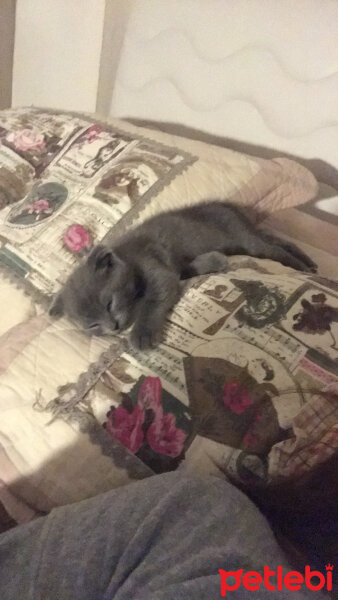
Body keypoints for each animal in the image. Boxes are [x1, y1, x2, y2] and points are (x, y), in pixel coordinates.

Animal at [48, 203, 316, 350]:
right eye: (92, 326)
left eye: (109, 303)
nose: (113, 327)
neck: (128, 258)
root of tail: (227, 206)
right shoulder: (175, 266)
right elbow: (188, 269)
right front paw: (214, 261)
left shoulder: (155, 267)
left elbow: (154, 299)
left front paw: (142, 335)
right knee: (280, 242)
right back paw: (309, 262)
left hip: (245, 239)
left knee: (274, 250)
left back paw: (302, 266)